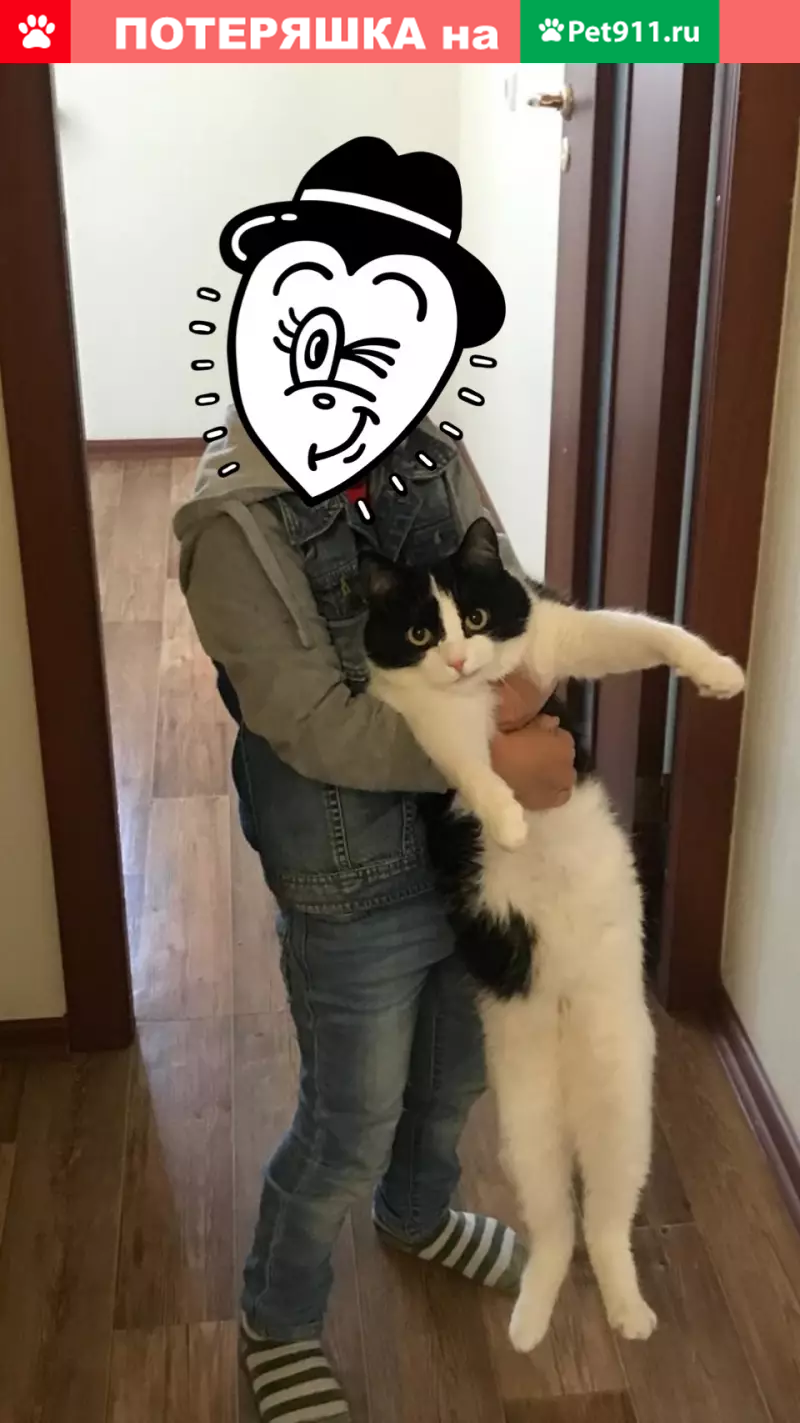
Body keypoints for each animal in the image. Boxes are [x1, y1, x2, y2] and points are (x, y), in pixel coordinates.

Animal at [360, 517, 745, 1351]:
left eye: (474, 617)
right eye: (419, 632)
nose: (459, 659)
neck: (479, 691)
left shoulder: (558, 636)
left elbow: (642, 630)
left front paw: (720, 672)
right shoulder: (422, 718)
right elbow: (470, 764)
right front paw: (506, 819)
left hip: (625, 1108)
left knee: (603, 1223)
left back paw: (628, 1312)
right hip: (525, 1124)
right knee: (558, 1229)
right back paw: (530, 1321)